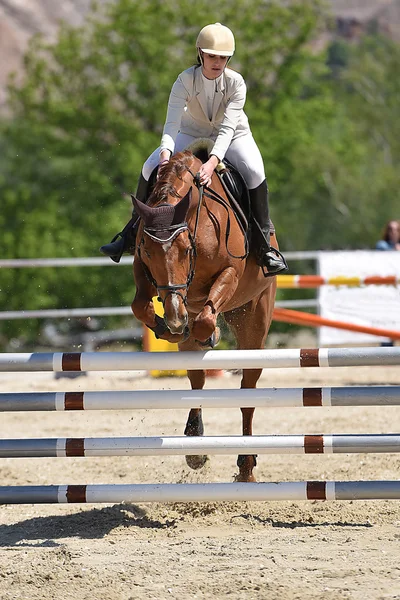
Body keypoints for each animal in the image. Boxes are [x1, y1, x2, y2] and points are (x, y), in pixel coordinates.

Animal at [131, 149, 278, 482]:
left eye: (186, 249)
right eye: (147, 249)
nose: (174, 316)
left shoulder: (230, 273)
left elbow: (205, 320)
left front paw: (203, 332)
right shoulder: (142, 268)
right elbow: (141, 306)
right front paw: (166, 327)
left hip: (255, 319)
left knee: (247, 390)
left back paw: (246, 467)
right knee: (196, 378)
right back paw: (195, 448)